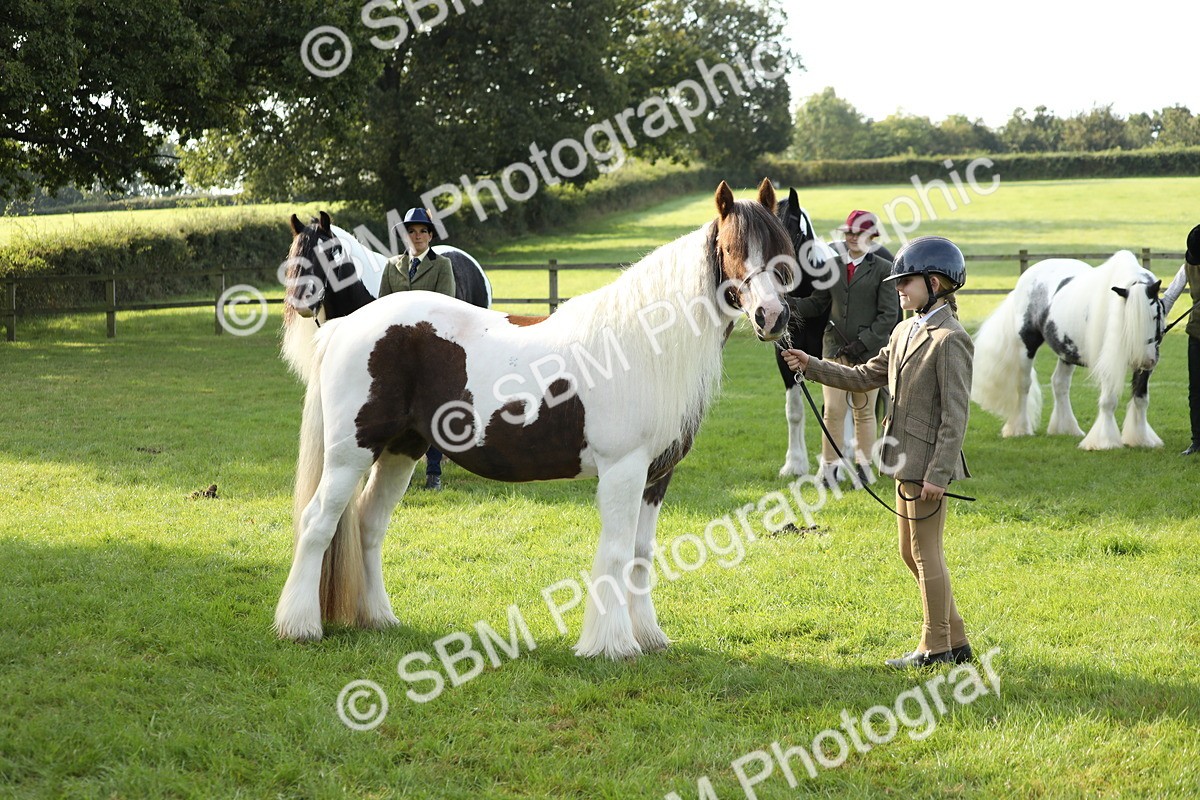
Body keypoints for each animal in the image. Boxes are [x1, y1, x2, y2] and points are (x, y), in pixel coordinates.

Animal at [971, 250, 1165, 450]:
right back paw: (1020, 429)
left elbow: (1140, 399)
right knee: (1023, 385)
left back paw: (1066, 428)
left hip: (1066, 351)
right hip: (1026, 345)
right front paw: (1105, 441)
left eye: (1157, 315)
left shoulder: (1145, 369)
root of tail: (1025, 277)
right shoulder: (1107, 363)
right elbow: (1108, 401)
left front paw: (1141, 439)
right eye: (1127, 318)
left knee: (1059, 384)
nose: (1145, 359)